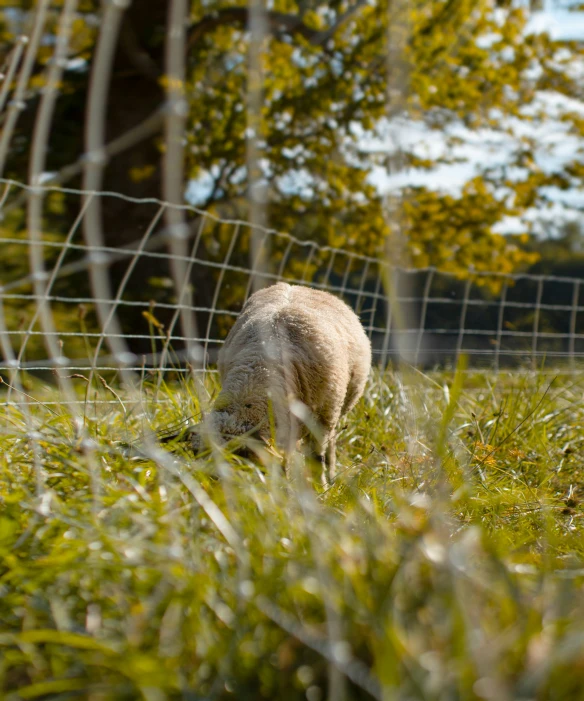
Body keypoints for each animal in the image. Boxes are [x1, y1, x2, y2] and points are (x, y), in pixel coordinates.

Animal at [167, 282, 372, 484]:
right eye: (197, 453)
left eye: (238, 457)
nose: (209, 487)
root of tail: (300, 286)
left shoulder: (323, 420)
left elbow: (316, 459)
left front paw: (319, 487)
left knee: (330, 444)